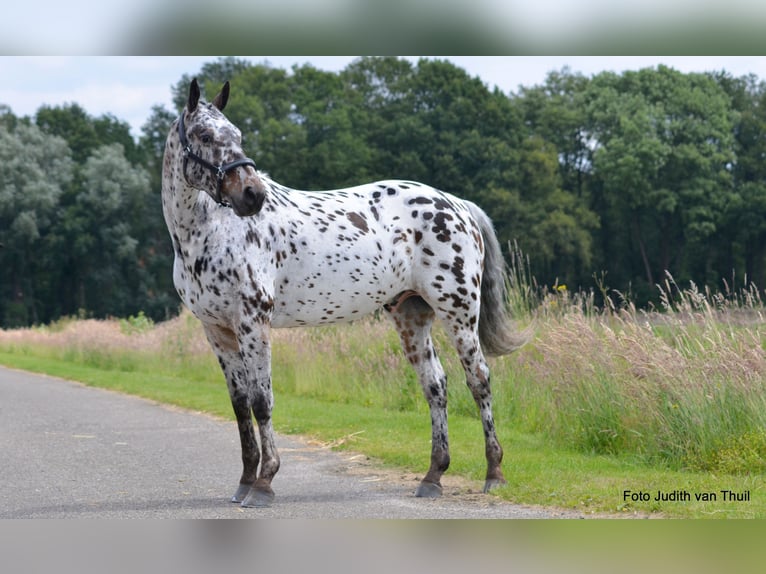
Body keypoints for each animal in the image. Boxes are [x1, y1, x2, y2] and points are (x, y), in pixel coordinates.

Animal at [161, 78, 526, 508]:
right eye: (204, 136)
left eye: (237, 135)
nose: (252, 195)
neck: (211, 231)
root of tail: (458, 205)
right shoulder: (217, 331)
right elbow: (239, 407)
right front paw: (245, 480)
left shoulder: (253, 321)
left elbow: (262, 402)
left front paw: (264, 483)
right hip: (411, 315)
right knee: (435, 386)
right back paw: (433, 475)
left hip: (458, 311)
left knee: (479, 380)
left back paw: (494, 473)